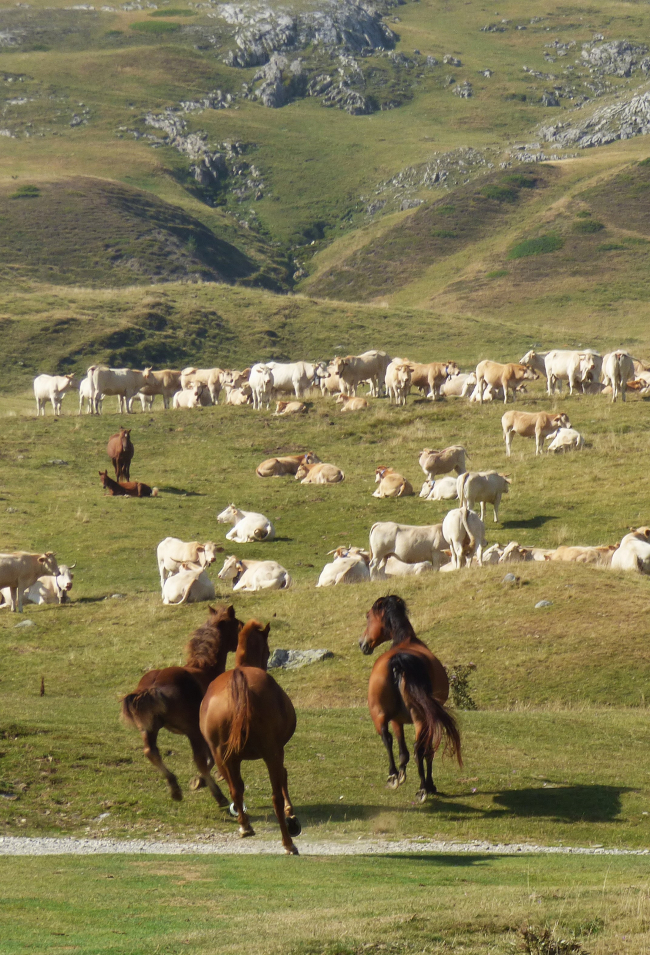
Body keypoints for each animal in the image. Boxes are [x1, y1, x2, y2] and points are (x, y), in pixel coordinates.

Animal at [121, 604, 240, 808]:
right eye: (238, 625)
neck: (204, 670)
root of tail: (154, 685)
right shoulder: (200, 731)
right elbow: (209, 759)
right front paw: (200, 781)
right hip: (191, 730)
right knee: (198, 760)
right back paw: (219, 796)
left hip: (149, 728)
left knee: (151, 752)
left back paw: (175, 788)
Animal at [356, 592, 458, 804]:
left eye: (368, 616)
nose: (362, 643)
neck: (406, 641)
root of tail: (399, 660)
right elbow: (425, 752)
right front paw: (429, 784)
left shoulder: (397, 719)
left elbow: (404, 751)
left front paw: (403, 774)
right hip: (420, 718)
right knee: (420, 749)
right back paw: (420, 787)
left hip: (382, 714)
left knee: (387, 738)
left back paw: (393, 775)